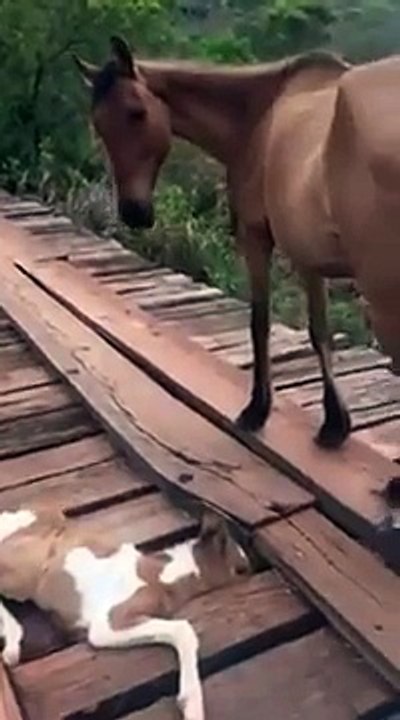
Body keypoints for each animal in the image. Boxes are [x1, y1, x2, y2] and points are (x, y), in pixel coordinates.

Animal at [0, 506, 249, 720]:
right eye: (241, 568)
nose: (252, 571)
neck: (164, 576)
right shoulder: (109, 622)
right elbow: (183, 629)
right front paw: (192, 707)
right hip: (25, 574)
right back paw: (12, 645)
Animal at [74, 36, 400, 448]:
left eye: (136, 112)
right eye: (99, 125)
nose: (134, 212)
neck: (258, 115)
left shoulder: (256, 236)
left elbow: (260, 321)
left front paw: (257, 410)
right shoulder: (308, 256)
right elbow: (319, 332)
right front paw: (334, 422)